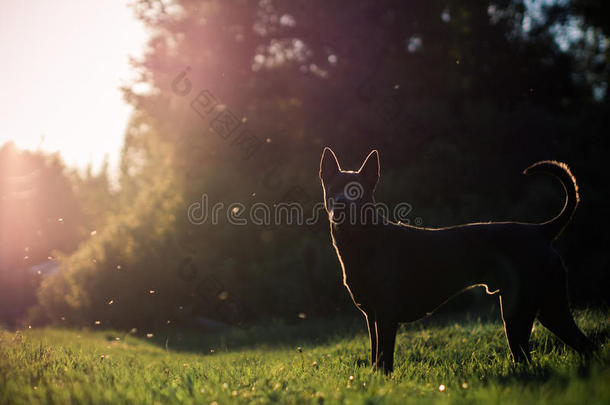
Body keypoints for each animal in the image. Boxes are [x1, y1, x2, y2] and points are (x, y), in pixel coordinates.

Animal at [318, 148, 592, 372]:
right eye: (333, 190)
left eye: (357, 192)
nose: (341, 204)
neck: (362, 240)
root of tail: (539, 231)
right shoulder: (371, 316)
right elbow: (376, 358)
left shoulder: (386, 316)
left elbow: (385, 361)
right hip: (547, 307)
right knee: (583, 345)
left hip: (520, 312)